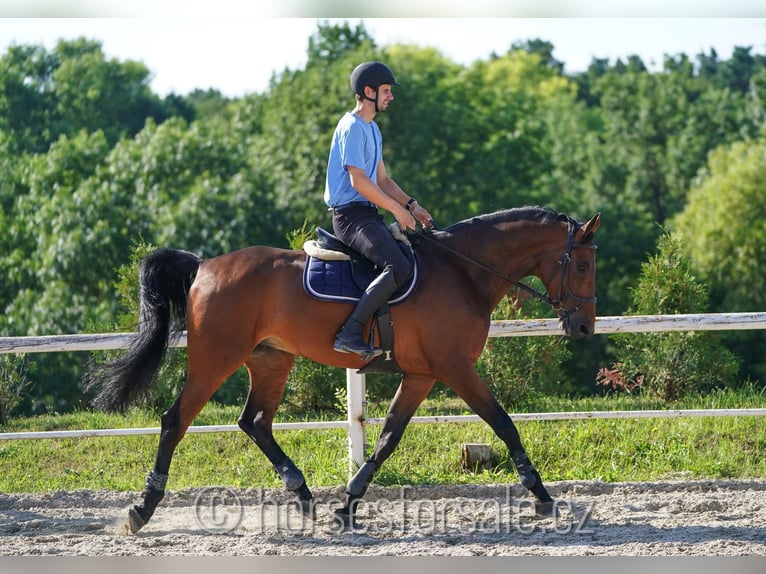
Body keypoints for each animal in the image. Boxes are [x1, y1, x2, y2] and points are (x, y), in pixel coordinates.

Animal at [84, 207, 600, 536]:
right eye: (582, 264)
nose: (583, 327)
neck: (463, 272)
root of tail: (204, 265)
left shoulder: (422, 375)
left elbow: (389, 438)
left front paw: (348, 504)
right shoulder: (455, 368)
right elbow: (504, 423)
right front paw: (541, 495)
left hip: (271, 359)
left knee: (255, 422)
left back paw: (304, 496)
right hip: (216, 359)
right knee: (176, 422)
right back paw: (141, 510)